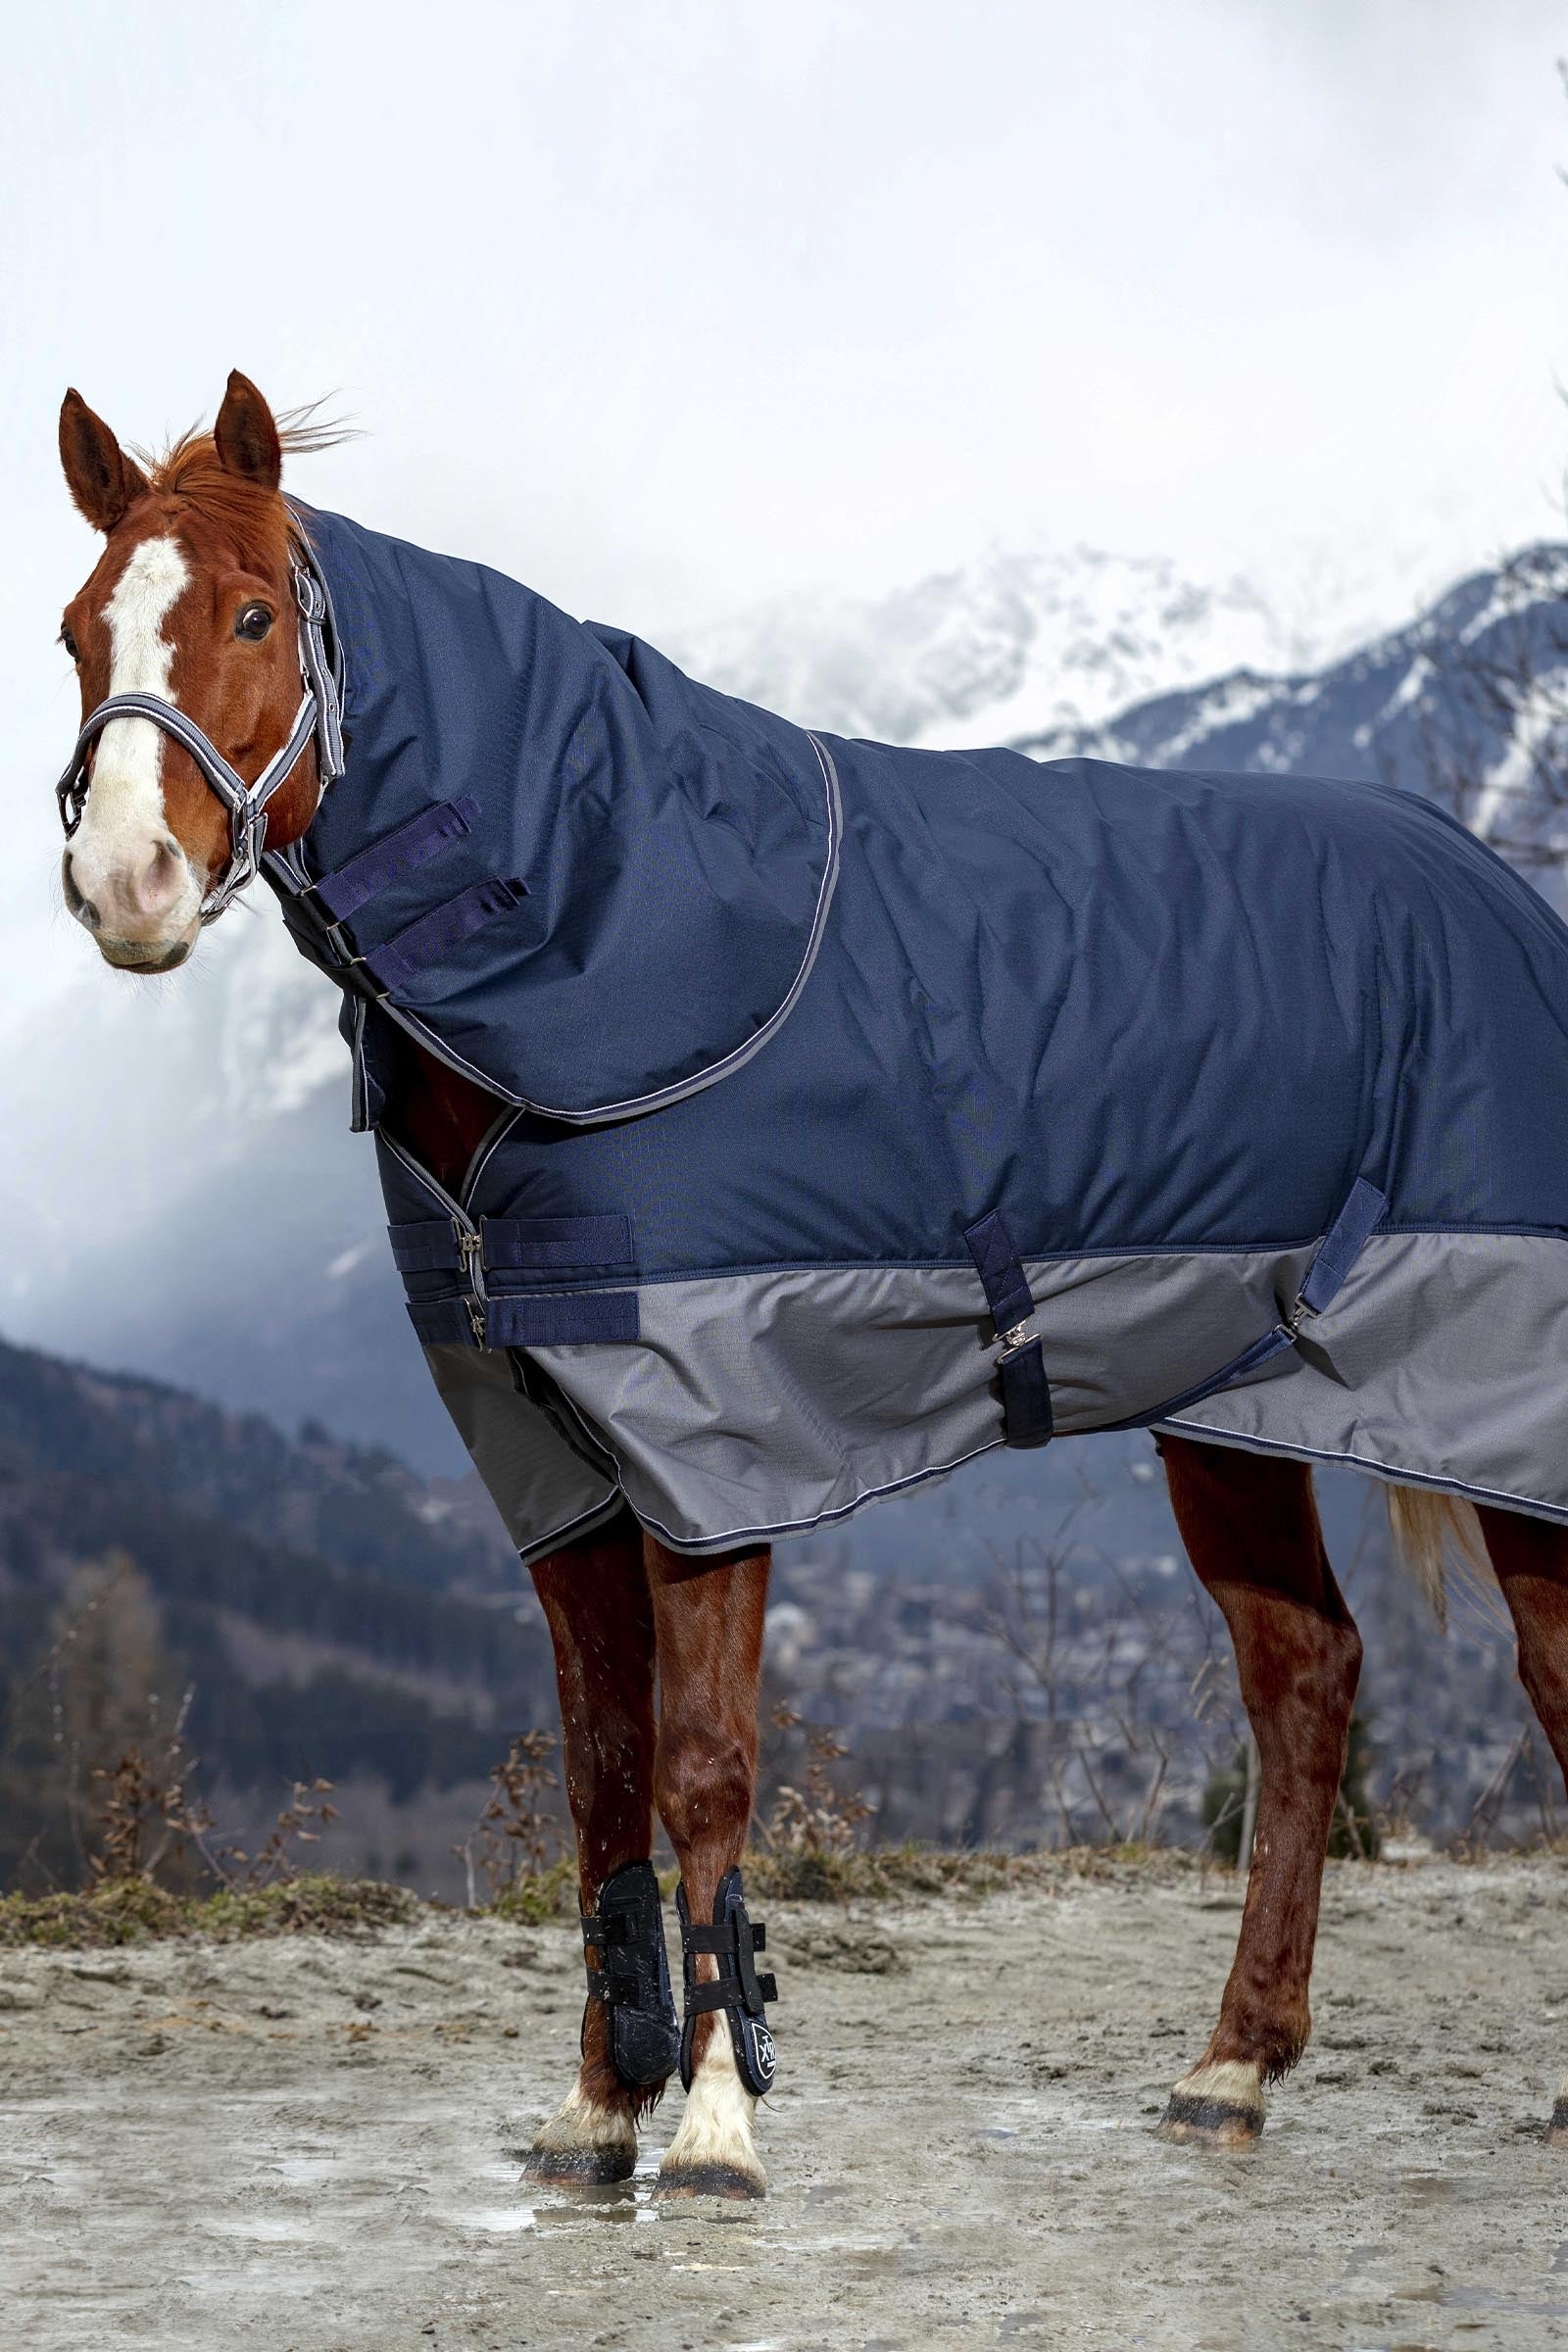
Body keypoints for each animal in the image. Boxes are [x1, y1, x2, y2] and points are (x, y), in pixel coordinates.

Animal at [49, 372, 1568, 2201]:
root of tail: (1502, 894)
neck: (606, 930)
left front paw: (717, 2123)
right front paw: (598, 2105)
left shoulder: (714, 1450)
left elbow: (704, 1774)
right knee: (1304, 1677)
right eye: (75, 630)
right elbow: (601, 1778)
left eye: (253, 615)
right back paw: (1231, 2067)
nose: (124, 882)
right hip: (1233, 1414)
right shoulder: (551, 1467)